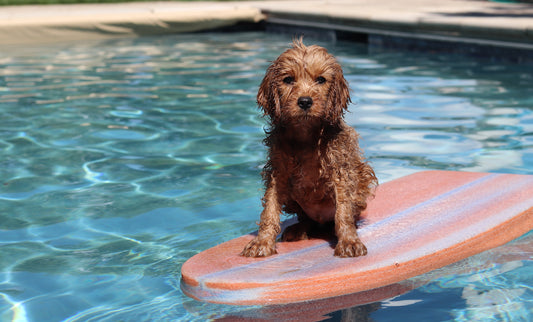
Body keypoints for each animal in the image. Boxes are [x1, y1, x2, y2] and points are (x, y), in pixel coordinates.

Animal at [239, 39, 376, 258]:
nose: (305, 101)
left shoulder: (340, 171)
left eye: (320, 80)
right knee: (307, 219)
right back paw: (299, 229)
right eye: (288, 80)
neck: (305, 134)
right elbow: (270, 209)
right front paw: (262, 242)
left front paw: (349, 241)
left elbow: (343, 211)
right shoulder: (278, 173)